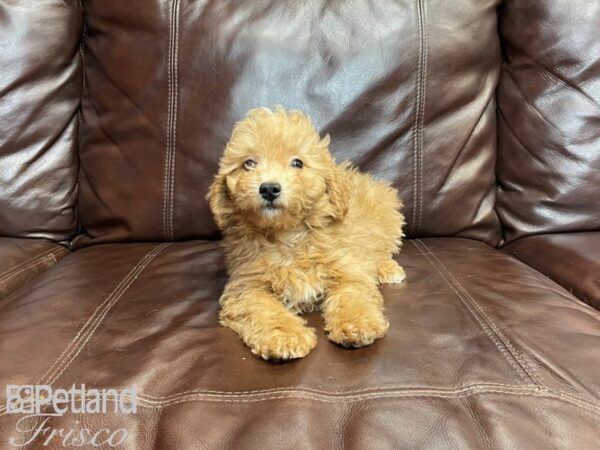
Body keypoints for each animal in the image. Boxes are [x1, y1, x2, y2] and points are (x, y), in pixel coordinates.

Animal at [209, 107, 406, 360]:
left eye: (297, 163)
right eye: (249, 163)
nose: (269, 188)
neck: (287, 236)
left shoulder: (347, 269)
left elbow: (352, 295)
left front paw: (357, 325)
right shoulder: (246, 285)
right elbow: (263, 308)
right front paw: (285, 336)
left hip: (388, 214)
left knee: (384, 248)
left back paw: (387, 268)